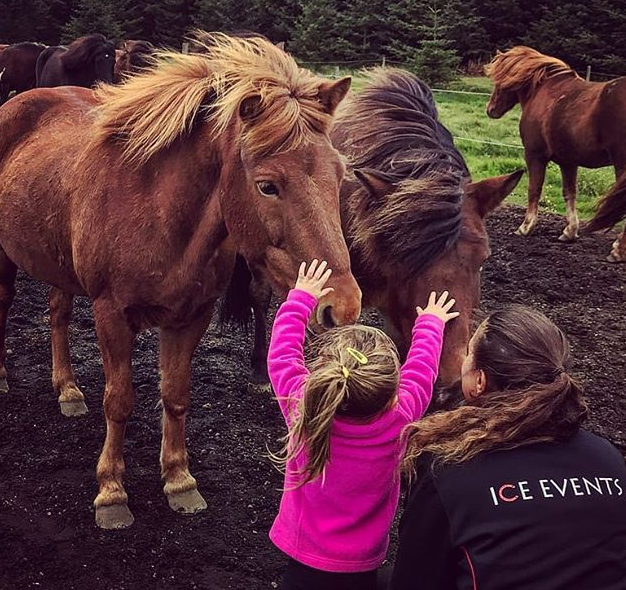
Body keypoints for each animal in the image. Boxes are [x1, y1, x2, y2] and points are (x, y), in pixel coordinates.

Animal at [0, 34, 358, 528]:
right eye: (267, 185)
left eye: (340, 176)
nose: (343, 304)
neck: (159, 211)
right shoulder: (111, 314)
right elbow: (119, 400)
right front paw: (112, 492)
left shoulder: (191, 317)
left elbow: (176, 395)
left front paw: (179, 480)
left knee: (57, 314)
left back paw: (67, 389)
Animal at [486, 46, 624, 260]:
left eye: (500, 81)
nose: (490, 109)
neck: (543, 92)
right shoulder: (568, 161)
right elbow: (569, 192)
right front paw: (569, 232)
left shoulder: (534, 155)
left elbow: (534, 189)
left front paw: (526, 227)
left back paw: (617, 250)